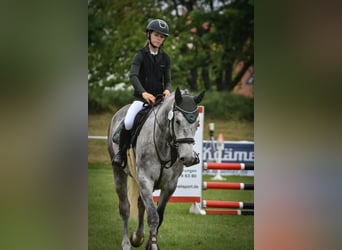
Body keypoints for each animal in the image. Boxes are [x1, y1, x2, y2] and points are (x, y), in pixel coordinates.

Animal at [107, 88, 203, 250]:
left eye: (197, 123)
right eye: (177, 121)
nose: (188, 158)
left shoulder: (170, 185)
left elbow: (159, 216)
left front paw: (148, 243)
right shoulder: (146, 180)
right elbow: (153, 217)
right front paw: (152, 246)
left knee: (140, 204)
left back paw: (137, 237)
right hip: (119, 172)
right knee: (125, 207)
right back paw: (126, 243)